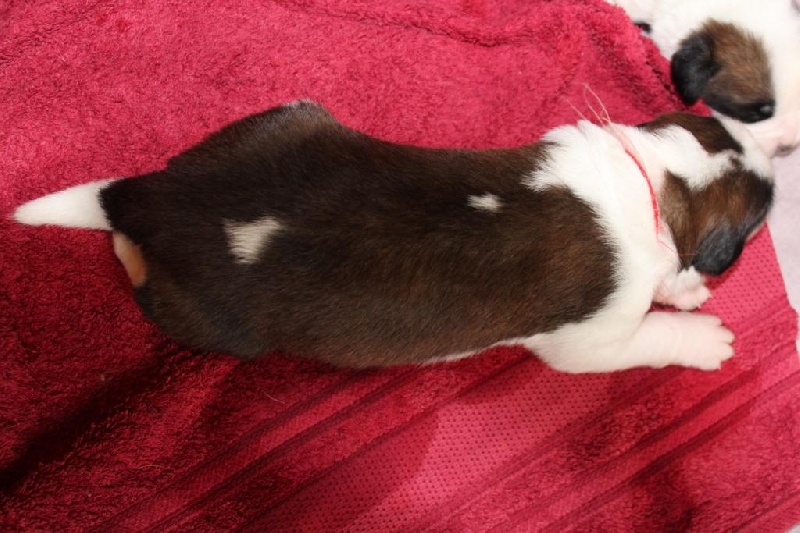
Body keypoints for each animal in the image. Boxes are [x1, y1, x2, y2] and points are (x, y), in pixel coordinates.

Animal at [13, 101, 774, 372]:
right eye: (756, 224)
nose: (771, 156)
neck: (656, 181)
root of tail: (152, 198)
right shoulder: (589, 340)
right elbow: (646, 332)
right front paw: (704, 334)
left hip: (281, 119)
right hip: (210, 322)